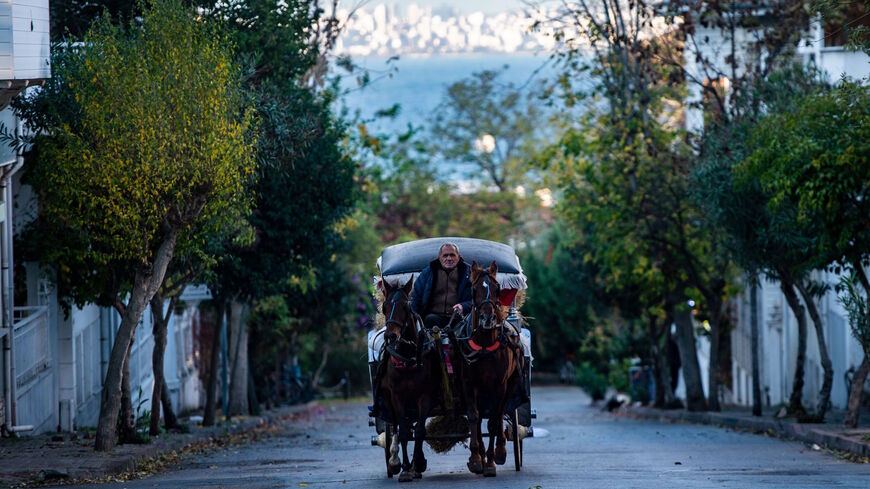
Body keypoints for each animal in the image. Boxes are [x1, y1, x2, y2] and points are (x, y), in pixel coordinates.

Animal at [376, 276, 442, 482]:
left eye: (406, 306)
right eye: (385, 306)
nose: (391, 336)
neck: (407, 357)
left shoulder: (425, 396)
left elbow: (420, 431)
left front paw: (418, 463)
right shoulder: (397, 396)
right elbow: (404, 432)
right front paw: (405, 468)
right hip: (387, 399)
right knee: (395, 425)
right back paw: (394, 460)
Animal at [464, 262, 524, 474]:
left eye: (498, 289)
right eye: (473, 289)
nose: (488, 318)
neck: (483, 345)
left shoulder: (499, 385)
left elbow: (492, 422)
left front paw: (490, 461)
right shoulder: (468, 383)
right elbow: (474, 417)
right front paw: (476, 458)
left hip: (511, 384)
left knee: (500, 413)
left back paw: (500, 450)